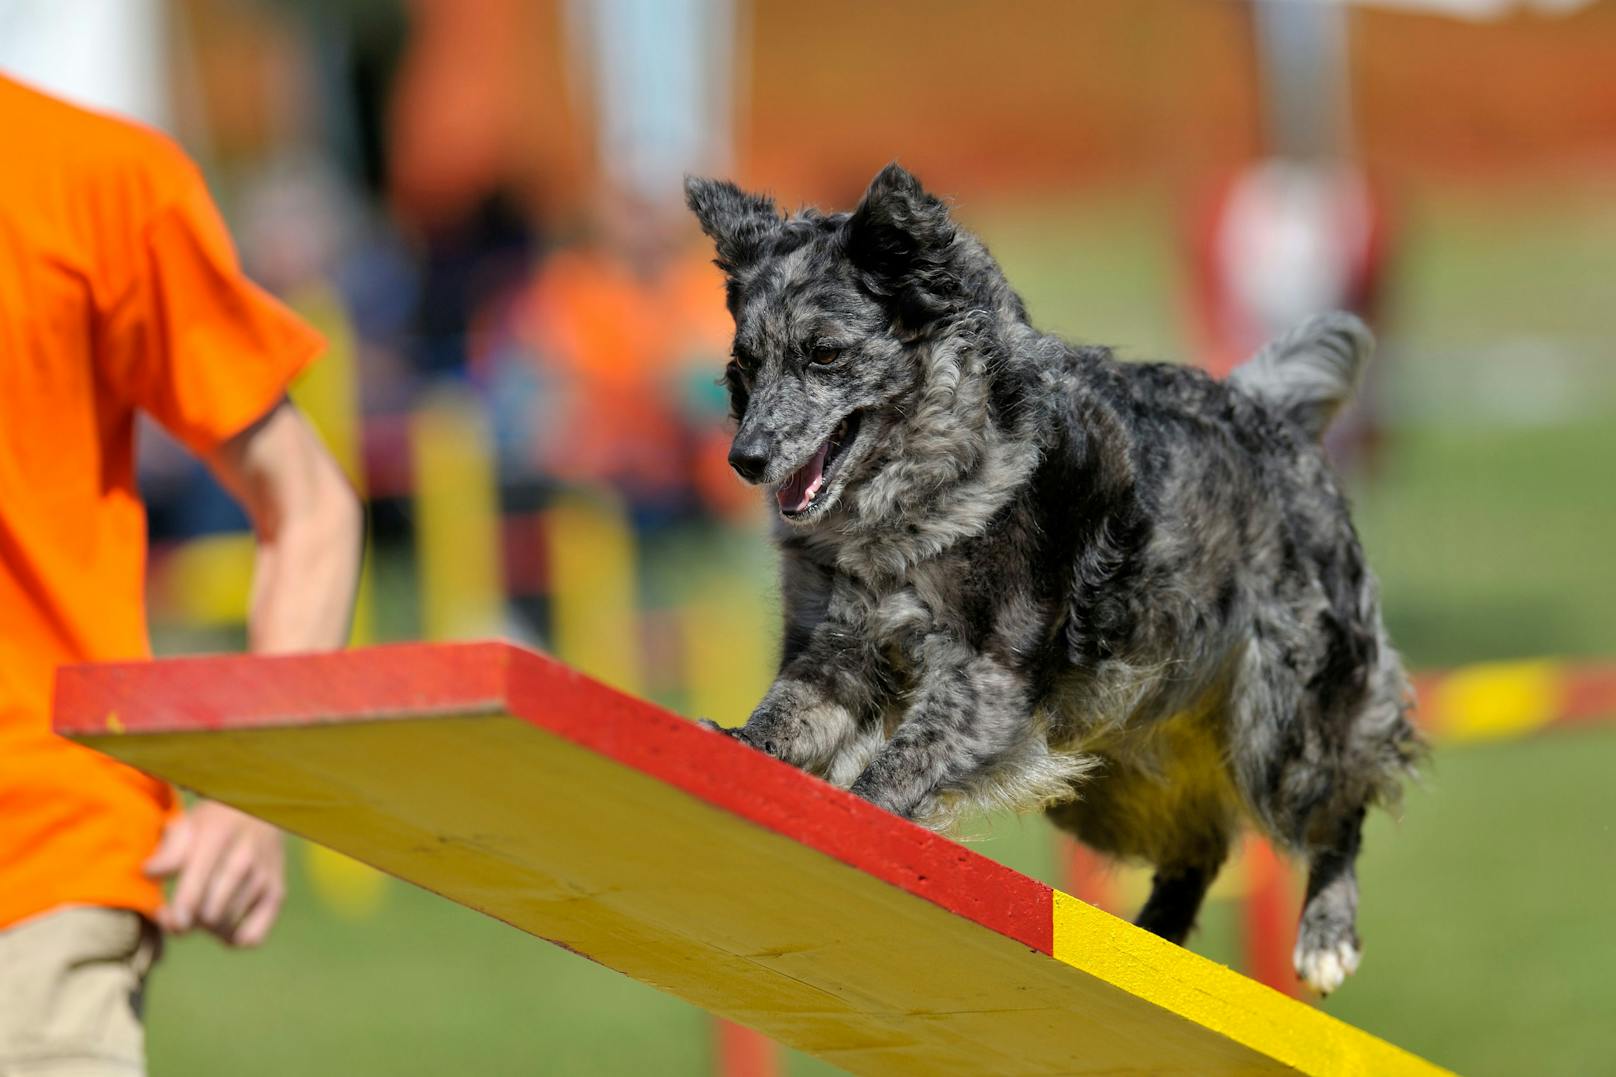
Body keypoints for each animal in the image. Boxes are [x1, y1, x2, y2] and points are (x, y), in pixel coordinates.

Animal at [688, 161, 1422, 989]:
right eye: (746, 365)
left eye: (824, 353)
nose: (744, 459)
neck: (915, 495)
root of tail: (1272, 413)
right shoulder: (838, 649)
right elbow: (785, 715)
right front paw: (732, 743)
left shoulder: (987, 682)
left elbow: (893, 766)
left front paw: (860, 810)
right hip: (1111, 772)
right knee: (1198, 845)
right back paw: (1154, 947)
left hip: (1280, 727)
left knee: (1342, 797)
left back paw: (1325, 936)